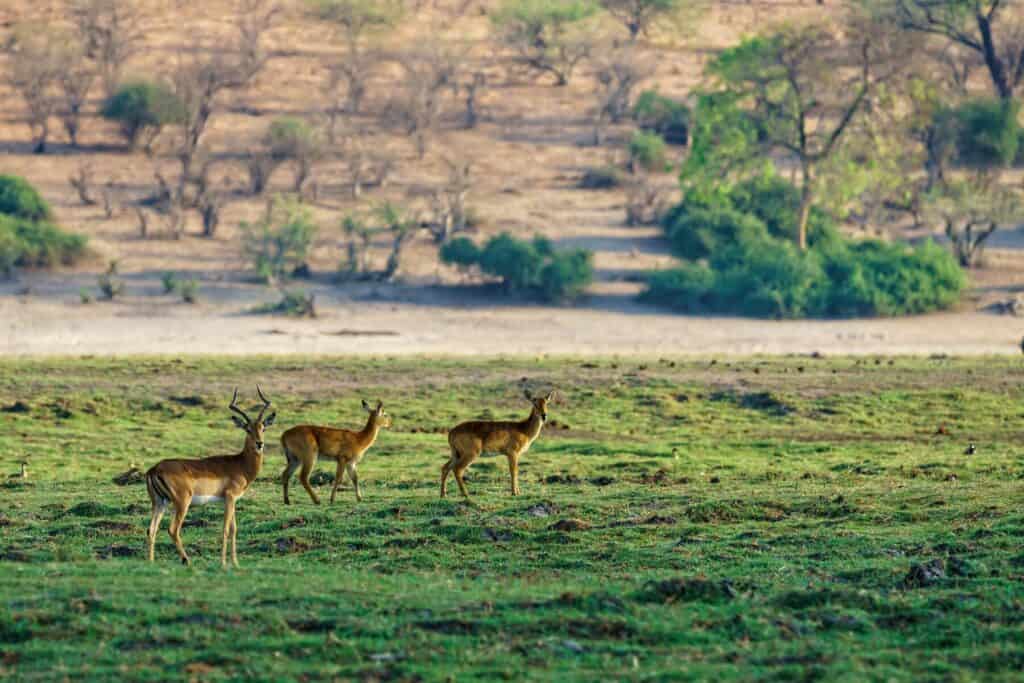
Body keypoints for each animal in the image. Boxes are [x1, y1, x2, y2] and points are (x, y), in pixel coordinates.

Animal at [142, 387, 276, 569]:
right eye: (247, 429)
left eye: (263, 428)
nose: (259, 444)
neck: (240, 464)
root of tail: (154, 469)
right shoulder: (230, 497)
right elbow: (226, 529)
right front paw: (223, 563)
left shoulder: (232, 500)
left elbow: (234, 529)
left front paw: (235, 563)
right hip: (182, 503)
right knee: (172, 529)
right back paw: (187, 560)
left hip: (159, 503)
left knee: (151, 529)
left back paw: (151, 562)